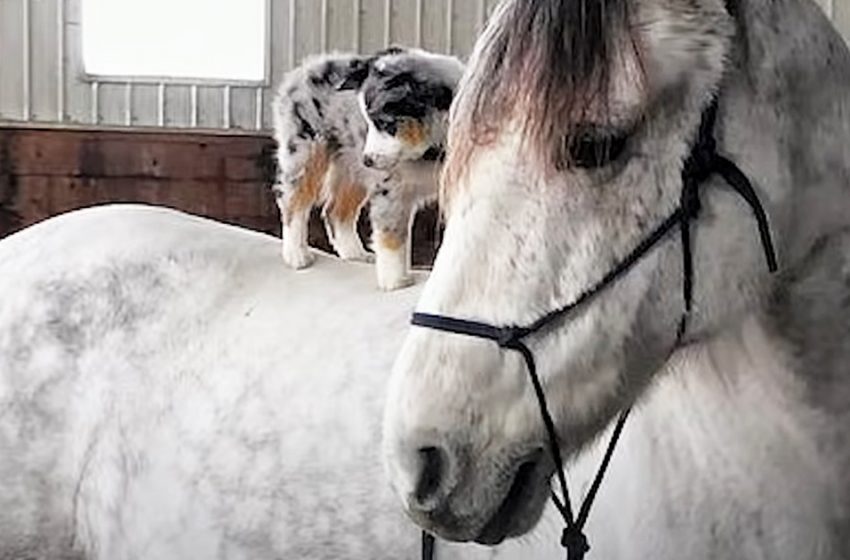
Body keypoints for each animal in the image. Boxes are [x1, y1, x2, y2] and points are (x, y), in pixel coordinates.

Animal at [274, 46, 464, 290]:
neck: (430, 150)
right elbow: (392, 235)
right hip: (305, 150)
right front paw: (395, 282)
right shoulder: (391, 189)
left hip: (352, 167)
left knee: (336, 210)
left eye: (385, 123)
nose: (368, 160)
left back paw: (355, 255)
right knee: (293, 200)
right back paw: (297, 256)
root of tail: (306, 67)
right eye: (369, 122)